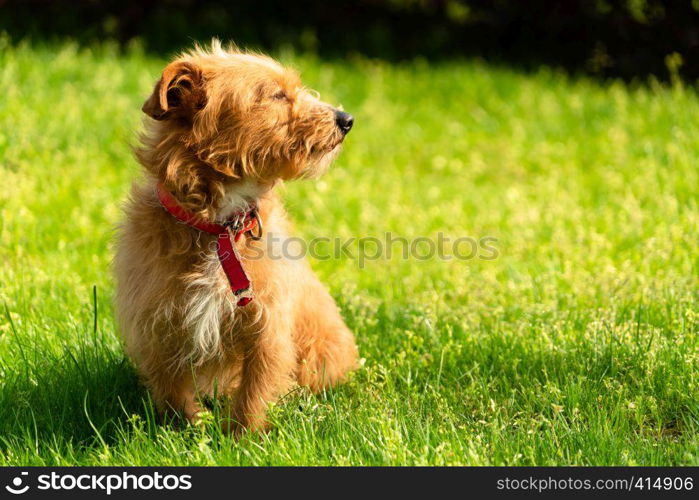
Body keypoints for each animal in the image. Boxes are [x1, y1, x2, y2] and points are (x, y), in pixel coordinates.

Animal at [114, 42, 358, 434]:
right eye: (276, 95)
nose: (346, 119)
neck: (221, 228)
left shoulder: (268, 324)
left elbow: (255, 389)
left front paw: (244, 437)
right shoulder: (156, 322)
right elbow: (171, 390)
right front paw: (188, 431)